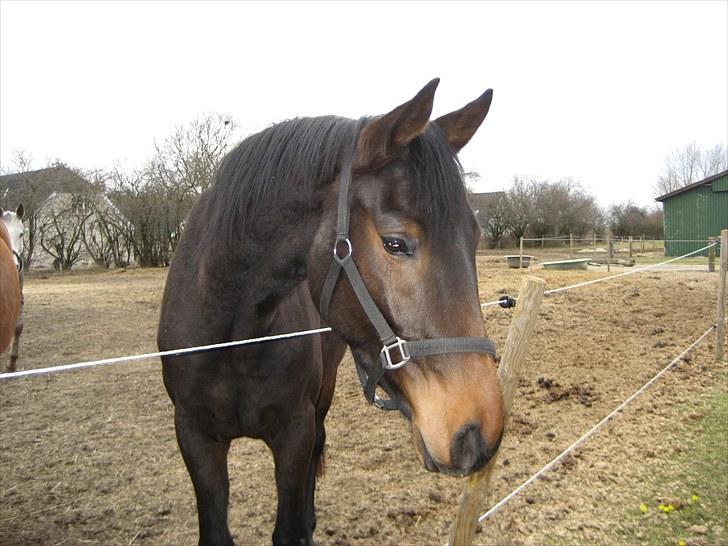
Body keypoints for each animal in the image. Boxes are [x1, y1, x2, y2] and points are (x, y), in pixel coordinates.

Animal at [156, 79, 504, 544]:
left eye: (475, 235)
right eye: (395, 242)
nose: (479, 432)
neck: (235, 337)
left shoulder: (295, 431)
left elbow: (290, 525)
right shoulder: (194, 436)